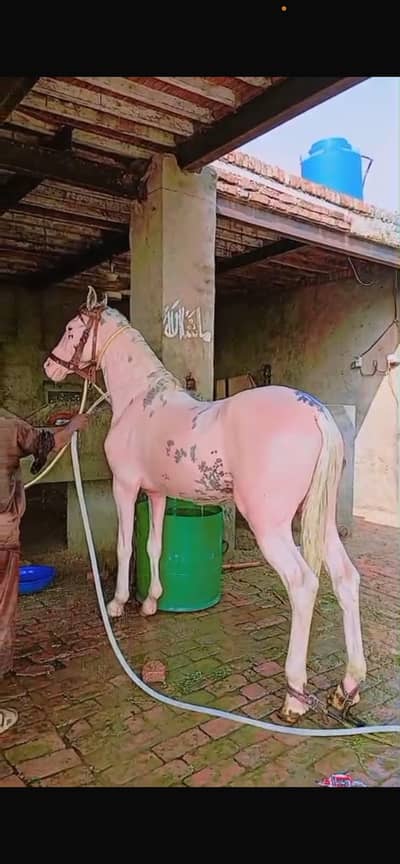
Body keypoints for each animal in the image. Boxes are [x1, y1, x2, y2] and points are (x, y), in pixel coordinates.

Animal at [43, 286, 366, 725]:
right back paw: (347, 688)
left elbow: (126, 546)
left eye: (71, 329)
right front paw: (151, 603)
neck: (140, 401)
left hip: (271, 526)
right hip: (319, 519)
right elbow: (154, 546)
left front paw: (118, 604)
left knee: (303, 585)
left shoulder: (124, 487)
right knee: (346, 579)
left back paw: (295, 697)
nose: (49, 367)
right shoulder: (156, 494)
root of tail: (316, 412)